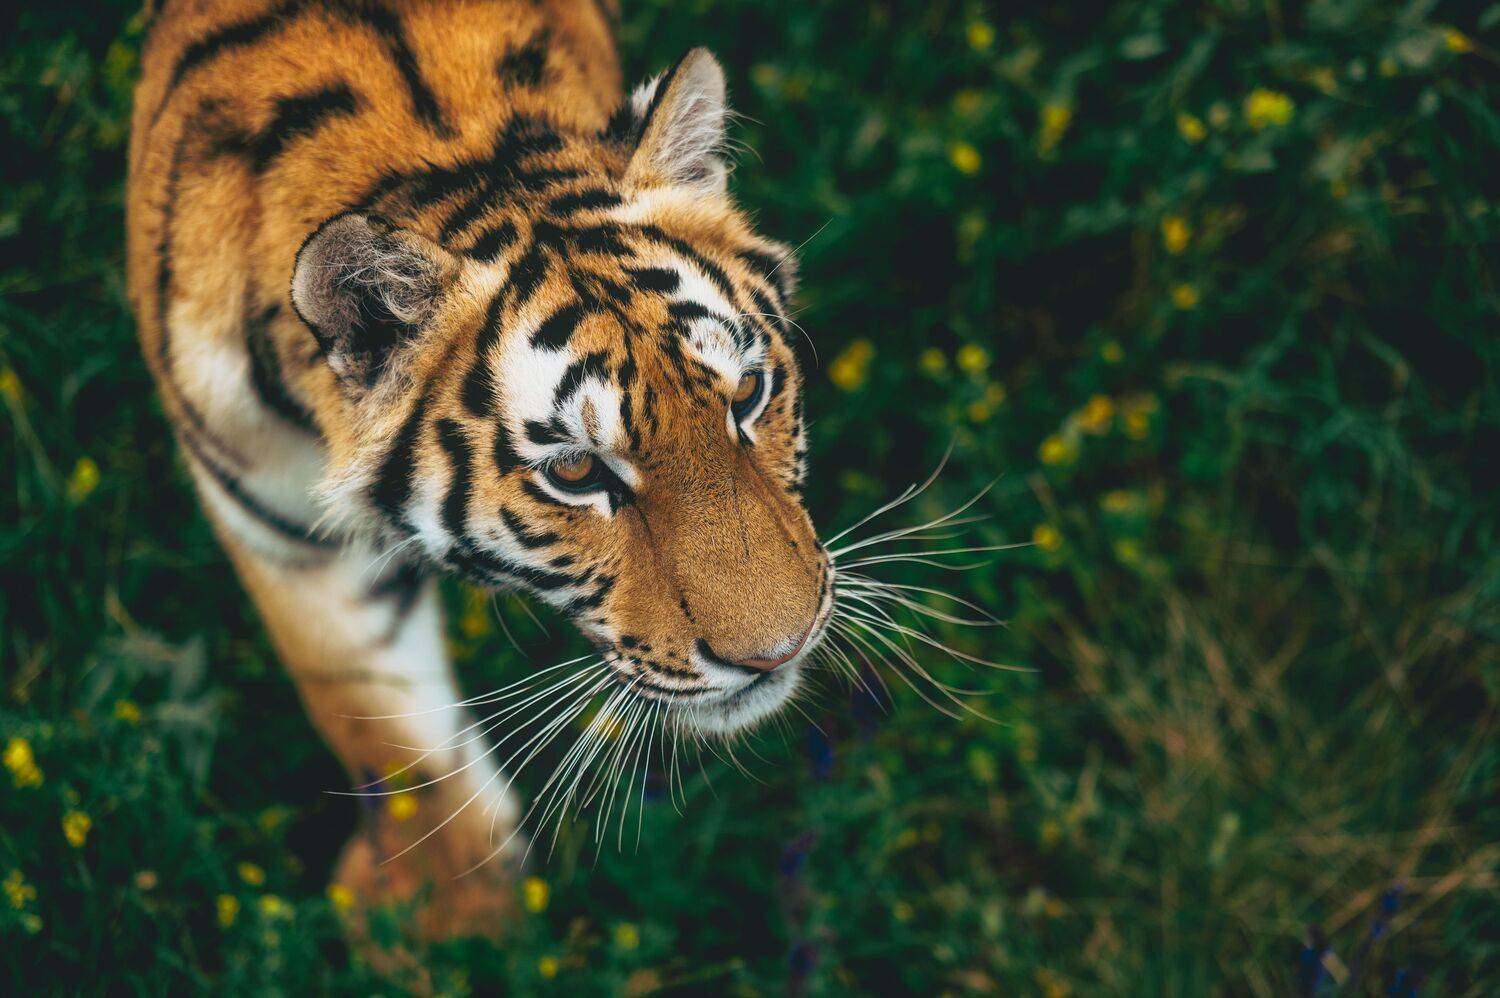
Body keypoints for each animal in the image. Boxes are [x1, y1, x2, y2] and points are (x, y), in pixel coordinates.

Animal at [126, 0, 831, 935]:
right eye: (576, 473)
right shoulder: (282, 528)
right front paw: (449, 922)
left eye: (749, 393)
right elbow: (379, 721)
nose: (778, 653)